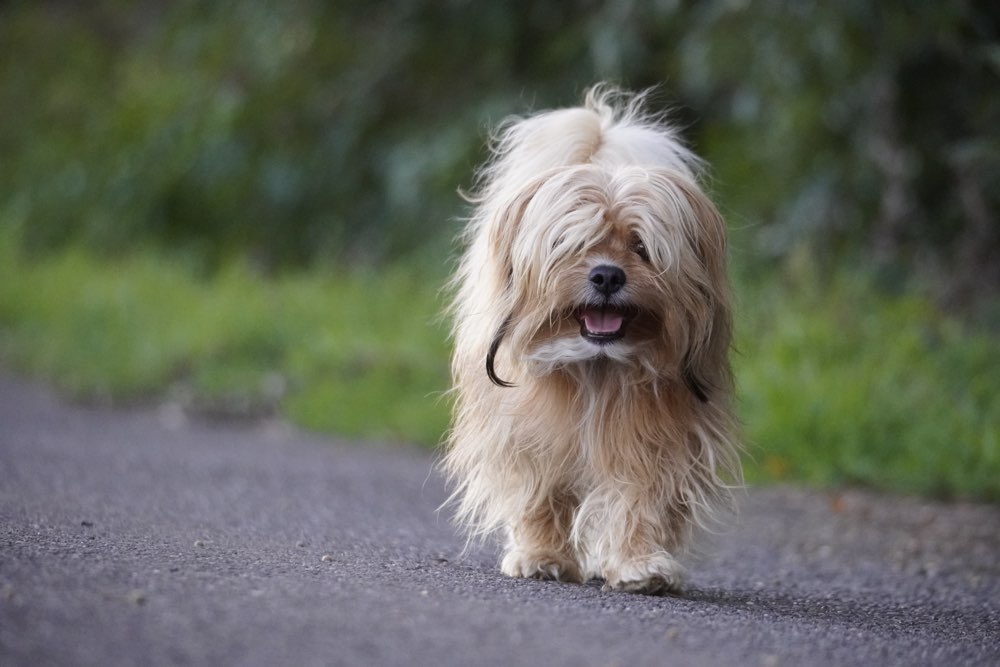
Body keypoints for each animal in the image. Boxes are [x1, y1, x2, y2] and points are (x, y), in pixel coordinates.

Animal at [446, 85, 744, 596]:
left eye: (641, 247)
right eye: (572, 244)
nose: (607, 275)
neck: (596, 367)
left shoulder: (655, 441)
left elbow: (641, 499)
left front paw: (640, 564)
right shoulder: (528, 437)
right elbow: (541, 492)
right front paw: (542, 555)